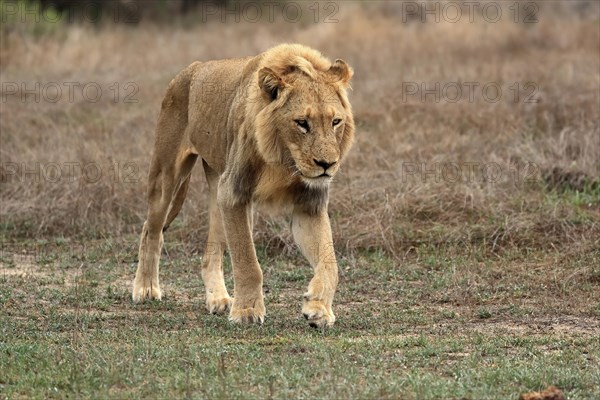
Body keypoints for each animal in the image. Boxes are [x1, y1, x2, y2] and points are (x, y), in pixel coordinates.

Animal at [132, 43, 354, 326]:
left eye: (335, 122)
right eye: (302, 123)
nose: (327, 164)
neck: (283, 160)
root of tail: (191, 68)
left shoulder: (308, 206)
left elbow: (330, 263)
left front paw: (318, 307)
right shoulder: (234, 193)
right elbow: (248, 262)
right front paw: (247, 311)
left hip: (217, 186)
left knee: (211, 253)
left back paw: (218, 299)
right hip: (168, 174)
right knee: (151, 230)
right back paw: (146, 288)